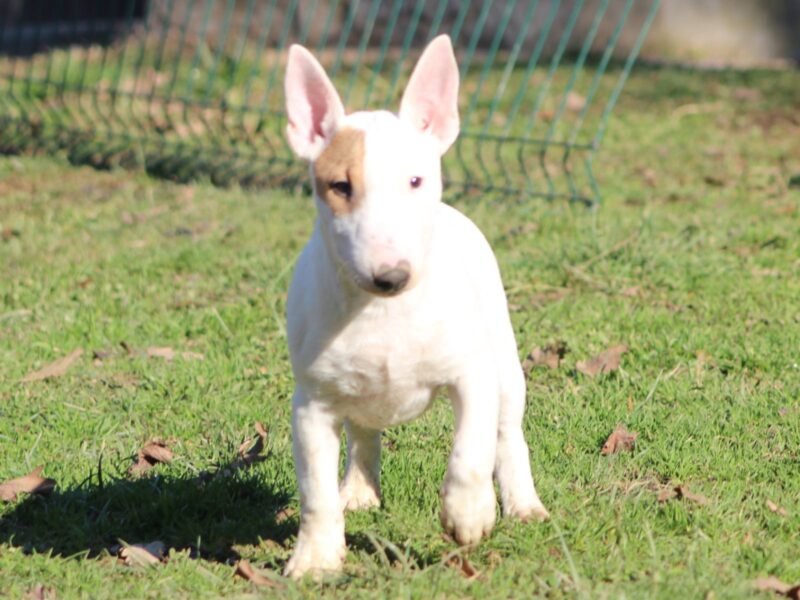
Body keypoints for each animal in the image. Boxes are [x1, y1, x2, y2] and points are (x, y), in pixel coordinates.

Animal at [282, 35, 552, 580]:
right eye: (340, 186)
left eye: (415, 181)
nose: (392, 275)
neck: (381, 311)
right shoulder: (311, 405)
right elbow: (315, 491)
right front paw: (316, 558)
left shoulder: (473, 375)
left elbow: (472, 450)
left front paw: (469, 514)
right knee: (364, 433)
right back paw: (358, 490)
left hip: (505, 361)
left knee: (508, 432)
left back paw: (523, 504)